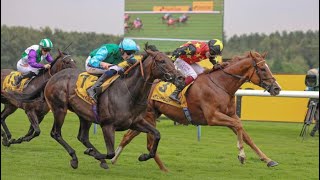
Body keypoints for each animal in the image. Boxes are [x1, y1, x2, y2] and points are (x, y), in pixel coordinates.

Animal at [42, 44, 184, 170]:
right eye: (162, 61)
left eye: (172, 60)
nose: (180, 78)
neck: (128, 93)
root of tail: (54, 76)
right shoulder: (107, 125)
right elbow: (111, 153)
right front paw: (92, 153)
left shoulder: (136, 122)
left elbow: (157, 134)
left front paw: (143, 156)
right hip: (59, 108)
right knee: (56, 133)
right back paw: (75, 158)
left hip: (84, 115)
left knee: (82, 137)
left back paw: (98, 159)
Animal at [111, 51, 282, 172]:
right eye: (262, 69)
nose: (277, 88)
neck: (221, 85)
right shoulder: (213, 117)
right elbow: (238, 126)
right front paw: (241, 156)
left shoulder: (230, 115)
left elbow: (246, 135)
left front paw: (268, 160)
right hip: (150, 116)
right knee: (148, 143)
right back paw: (159, 166)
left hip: (144, 118)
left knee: (128, 136)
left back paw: (115, 159)